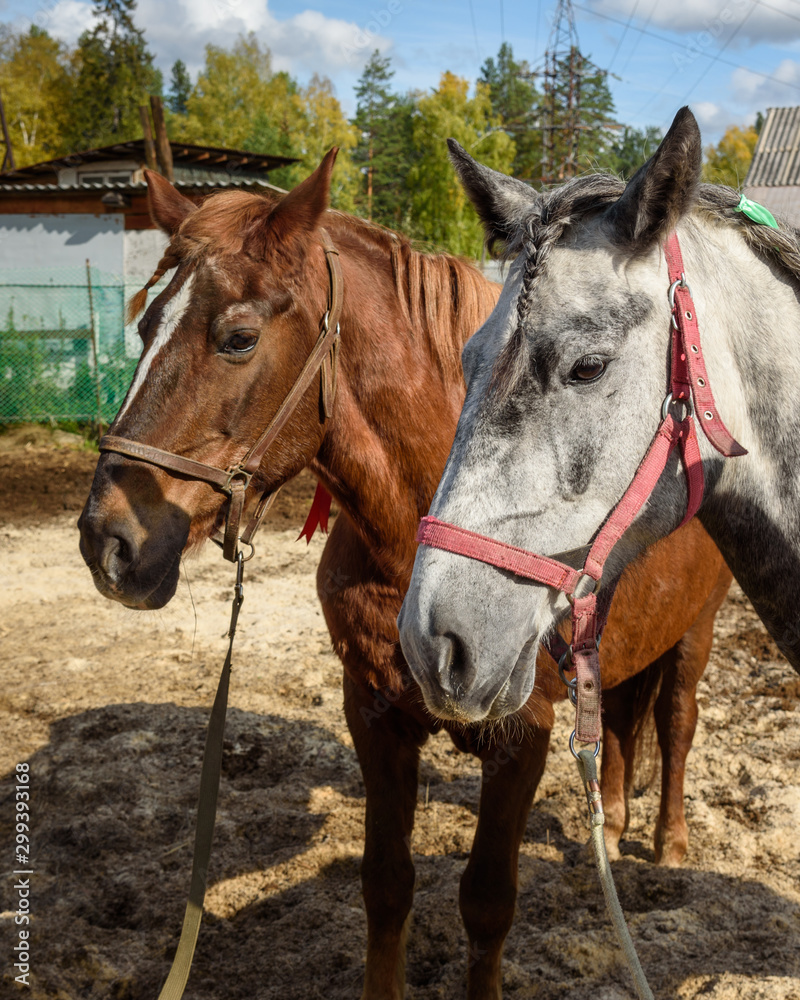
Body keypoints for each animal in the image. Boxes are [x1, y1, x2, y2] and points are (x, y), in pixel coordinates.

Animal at [78, 150, 731, 1000]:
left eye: (239, 338)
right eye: (146, 324)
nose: (109, 542)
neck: (412, 529)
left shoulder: (521, 735)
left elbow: (487, 901)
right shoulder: (374, 713)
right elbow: (386, 886)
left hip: (695, 634)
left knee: (676, 725)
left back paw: (670, 844)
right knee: (620, 725)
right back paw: (613, 826)